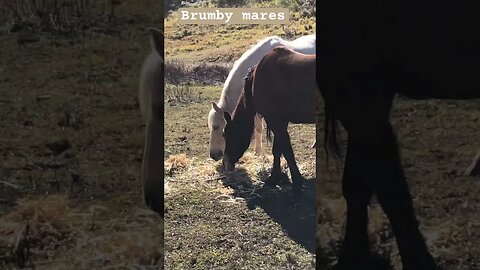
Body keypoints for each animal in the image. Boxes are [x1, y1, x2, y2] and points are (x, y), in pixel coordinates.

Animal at [222, 47, 318, 193]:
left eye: (227, 135)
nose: (225, 163)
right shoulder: (279, 122)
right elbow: (278, 150)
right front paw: (275, 177)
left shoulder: (276, 121)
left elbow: (286, 151)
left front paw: (296, 181)